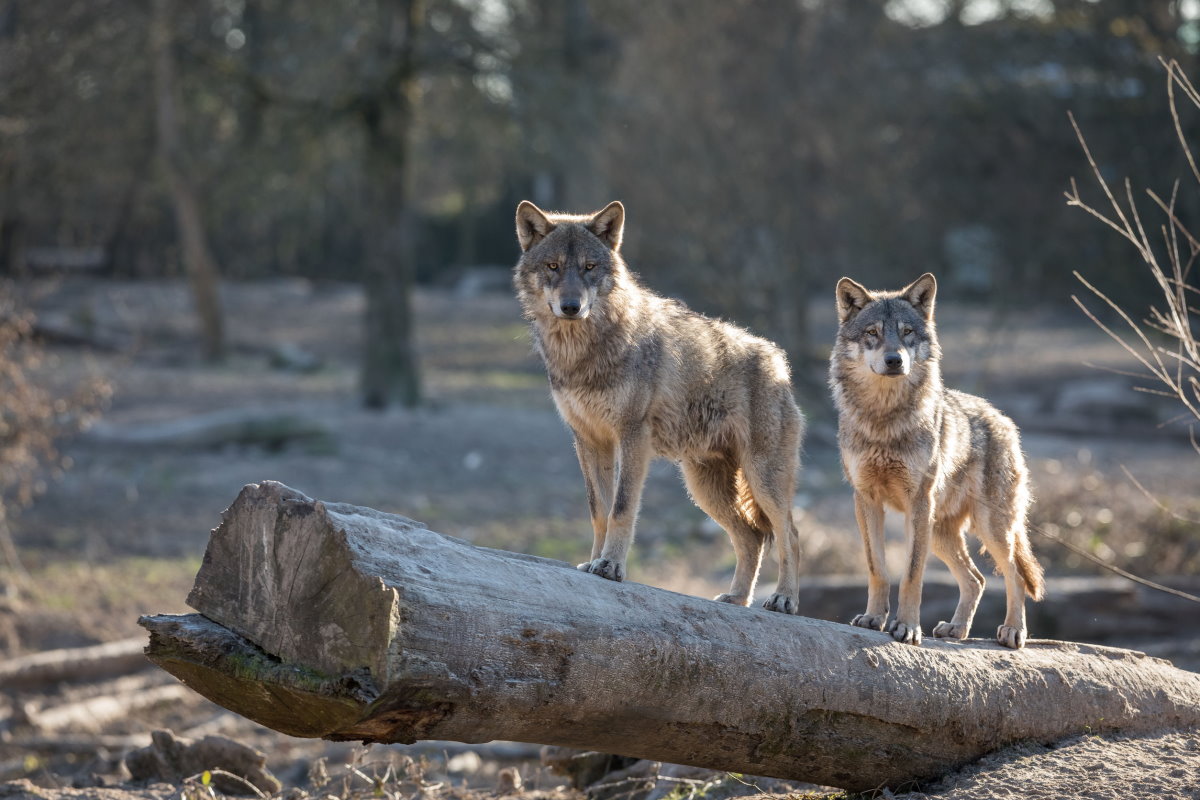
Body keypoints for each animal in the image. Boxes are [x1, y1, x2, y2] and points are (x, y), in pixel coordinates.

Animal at [516, 200, 806, 614]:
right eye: (553, 266)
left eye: (589, 266)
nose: (571, 307)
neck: (581, 354)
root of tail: (779, 362)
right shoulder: (589, 440)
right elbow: (599, 511)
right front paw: (593, 561)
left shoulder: (632, 436)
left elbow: (622, 508)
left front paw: (611, 566)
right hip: (704, 488)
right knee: (751, 537)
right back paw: (736, 597)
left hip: (762, 479)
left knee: (789, 535)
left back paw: (783, 598)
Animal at [830, 275, 1046, 652]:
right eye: (872, 332)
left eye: (906, 333)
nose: (894, 360)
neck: (883, 419)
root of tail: (1003, 418)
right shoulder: (866, 499)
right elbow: (877, 568)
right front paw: (874, 618)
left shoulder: (918, 501)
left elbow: (912, 575)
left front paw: (906, 627)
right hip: (941, 533)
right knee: (976, 579)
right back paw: (957, 629)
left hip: (989, 527)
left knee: (1014, 575)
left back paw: (1013, 631)